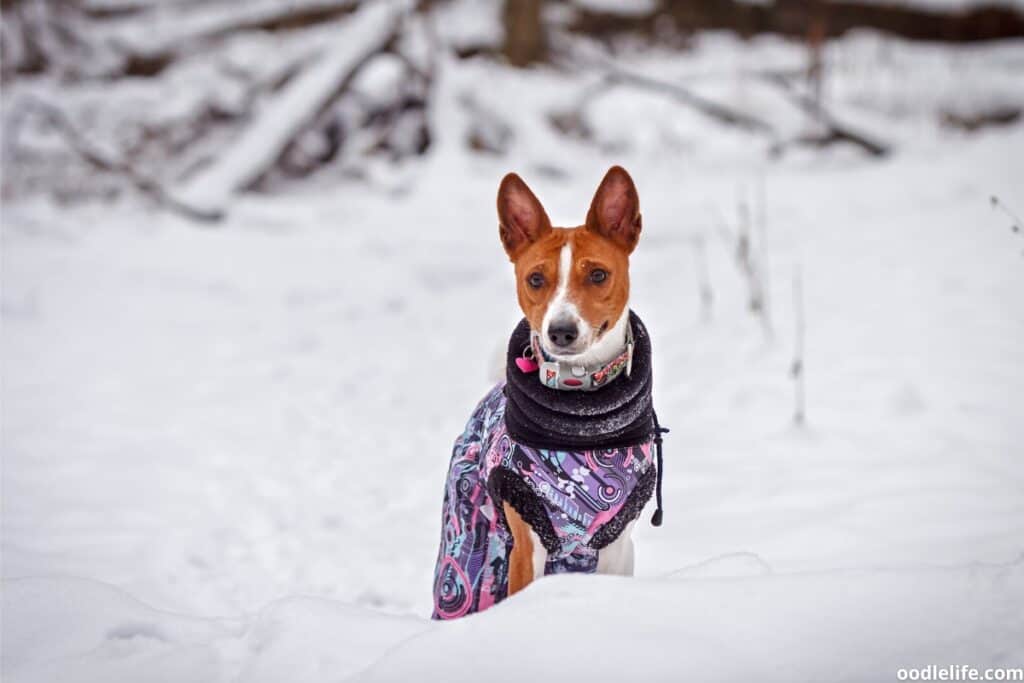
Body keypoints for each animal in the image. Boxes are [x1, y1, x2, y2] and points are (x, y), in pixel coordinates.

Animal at [428, 165, 659, 618]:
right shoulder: (525, 540)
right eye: (535, 279)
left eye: (598, 275)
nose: (561, 331)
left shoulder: (618, 542)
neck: (582, 412)